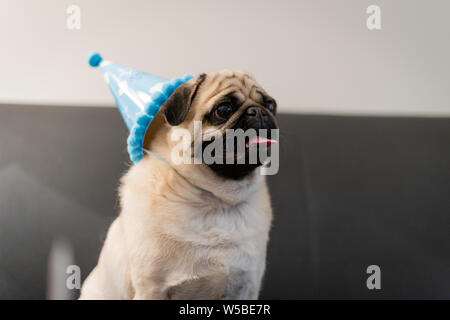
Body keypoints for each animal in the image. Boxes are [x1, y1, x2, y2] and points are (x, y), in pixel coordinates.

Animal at [80, 70, 278, 300]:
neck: (216, 199)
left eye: (271, 104)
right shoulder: (151, 288)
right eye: (223, 109)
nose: (259, 111)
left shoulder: (245, 288)